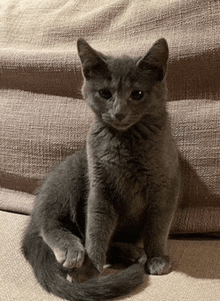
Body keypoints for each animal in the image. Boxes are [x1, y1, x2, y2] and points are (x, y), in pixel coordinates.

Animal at [21, 38, 180, 300]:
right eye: (105, 93)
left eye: (137, 94)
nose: (119, 112)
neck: (126, 141)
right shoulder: (100, 188)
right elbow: (96, 229)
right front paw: (89, 268)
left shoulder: (165, 186)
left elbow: (158, 226)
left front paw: (157, 258)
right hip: (68, 177)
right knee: (50, 221)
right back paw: (72, 250)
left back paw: (131, 252)